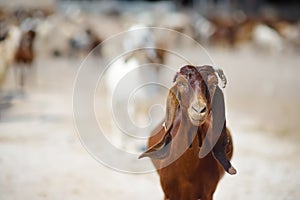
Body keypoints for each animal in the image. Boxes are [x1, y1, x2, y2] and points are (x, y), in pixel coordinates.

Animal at [139, 65, 236, 200]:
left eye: (213, 84)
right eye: (181, 83)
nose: (199, 110)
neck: (188, 170)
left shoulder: (208, 193)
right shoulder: (168, 193)